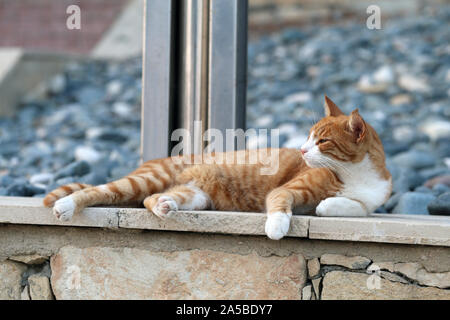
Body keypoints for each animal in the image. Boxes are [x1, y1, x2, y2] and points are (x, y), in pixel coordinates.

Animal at [44, 97, 392, 240]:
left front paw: (328, 205)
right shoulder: (288, 190)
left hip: (196, 196)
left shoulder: (371, 201)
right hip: (147, 179)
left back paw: (165, 205)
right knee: (99, 190)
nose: (303, 150)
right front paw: (276, 226)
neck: (356, 173)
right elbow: (280, 204)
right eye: (308, 137)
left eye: (322, 141)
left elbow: (357, 208)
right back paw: (65, 205)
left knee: (151, 200)